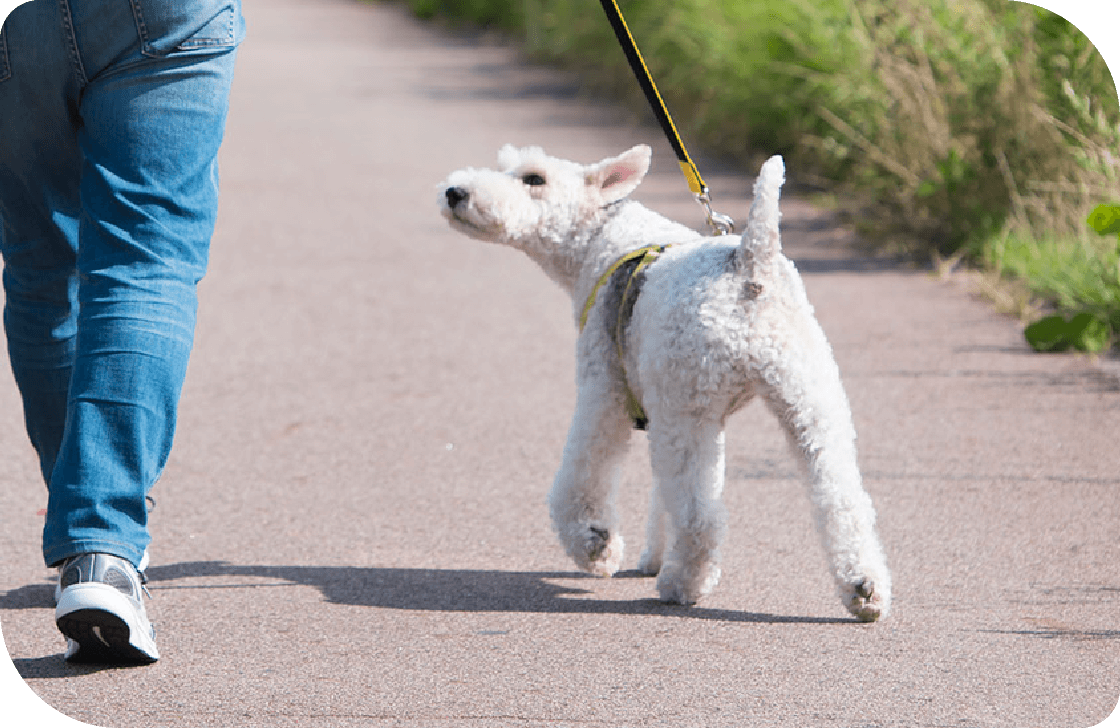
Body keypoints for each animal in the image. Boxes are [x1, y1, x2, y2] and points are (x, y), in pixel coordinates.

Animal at [436, 145, 891, 618]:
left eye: (534, 179)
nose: (454, 193)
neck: (602, 240)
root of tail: (749, 264)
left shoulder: (605, 392)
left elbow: (582, 476)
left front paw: (595, 544)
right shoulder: (667, 404)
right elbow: (660, 498)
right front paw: (651, 556)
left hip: (687, 411)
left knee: (701, 517)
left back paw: (682, 584)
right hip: (804, 399)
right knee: (843, 500)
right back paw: (865, 590)